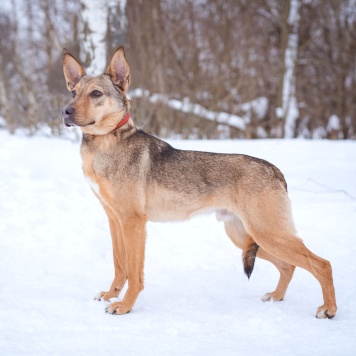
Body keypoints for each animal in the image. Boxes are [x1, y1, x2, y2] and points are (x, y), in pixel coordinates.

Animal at [62, 46, 336, 318]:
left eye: (96, 93)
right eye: (73, 92)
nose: (65, 111)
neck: (107, 141)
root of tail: (275, 170)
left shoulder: (133, 222)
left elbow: (134, 274)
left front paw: (125, 306)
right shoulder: (115, 220)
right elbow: (120, 267)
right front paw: (111, 295)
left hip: (267, 233)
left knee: (322, 264)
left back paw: (329, 309)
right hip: (245, 236)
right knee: (289, 266)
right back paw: (276, 297)